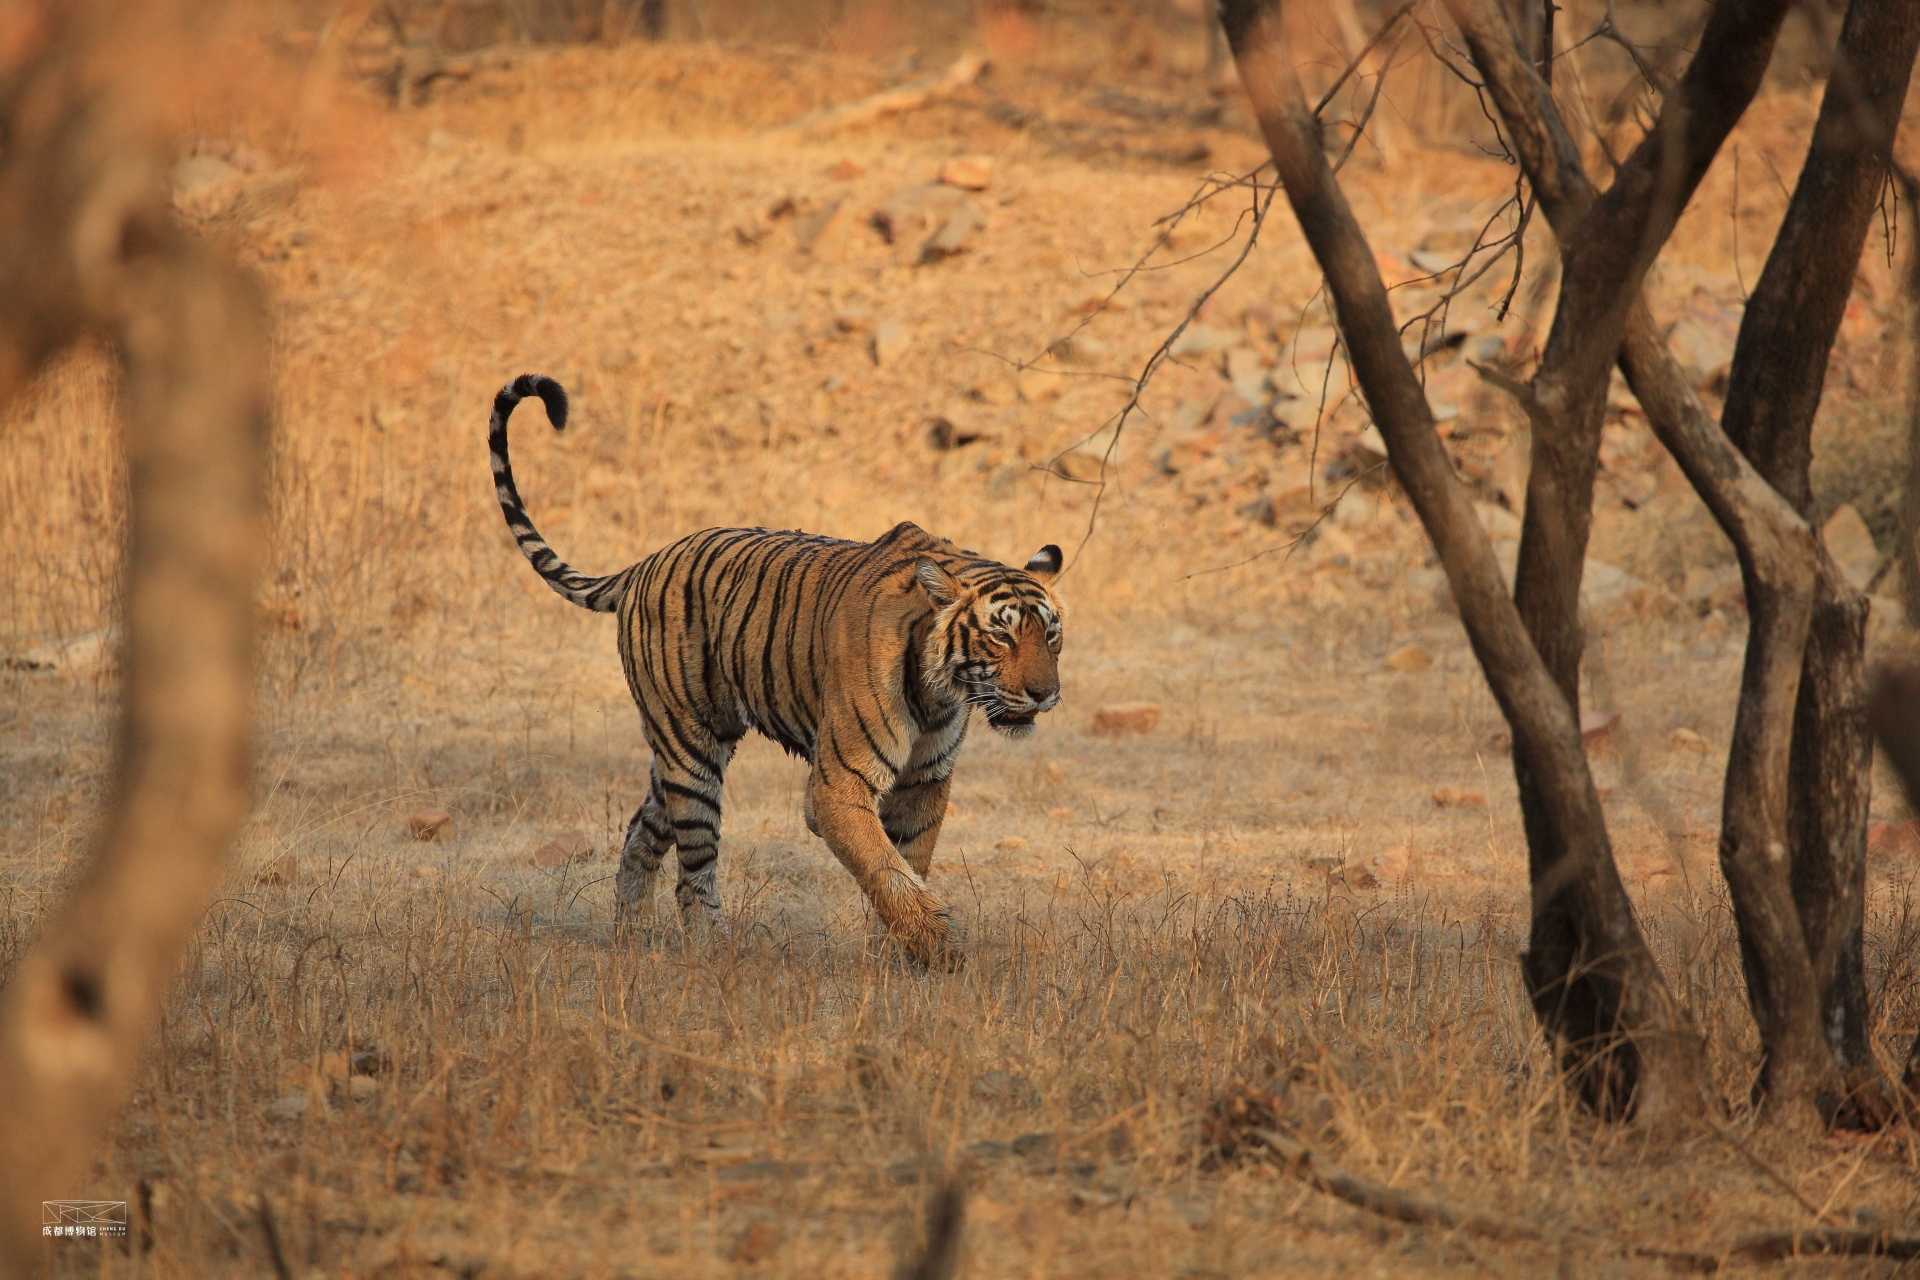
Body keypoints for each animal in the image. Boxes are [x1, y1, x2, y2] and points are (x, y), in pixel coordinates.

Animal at [483, 376, 1067, 967]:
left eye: (1051, 635)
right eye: (1001, 636)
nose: (1046, 694)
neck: (938, 689)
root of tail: (644, 562)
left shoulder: (926, 780)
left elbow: (910, 864)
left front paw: (898, 959)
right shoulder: (838, 785)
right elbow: (888, 870)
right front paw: (943, 956)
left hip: (685, 749)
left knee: (641, 832)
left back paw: (632, 937)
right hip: (690, 751)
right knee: (693, 874)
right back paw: (711, 951)